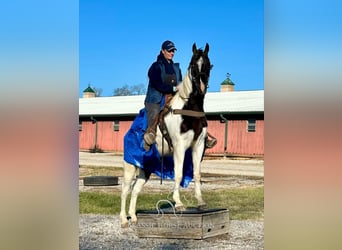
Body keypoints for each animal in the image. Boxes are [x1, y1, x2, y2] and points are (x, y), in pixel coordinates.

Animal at [119, 43, 211, 229]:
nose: (200, 88)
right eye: (192, 65)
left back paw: (134, 217)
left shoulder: (198, 146)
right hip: (130, 166)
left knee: (135, 189)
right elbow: (179, 174)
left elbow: (197, 174)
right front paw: (179, 203)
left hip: (145, 169)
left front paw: (201, 202)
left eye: (207, 64)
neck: (189, 108)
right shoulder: (180, 147)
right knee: (125, 190)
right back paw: (124, 219)